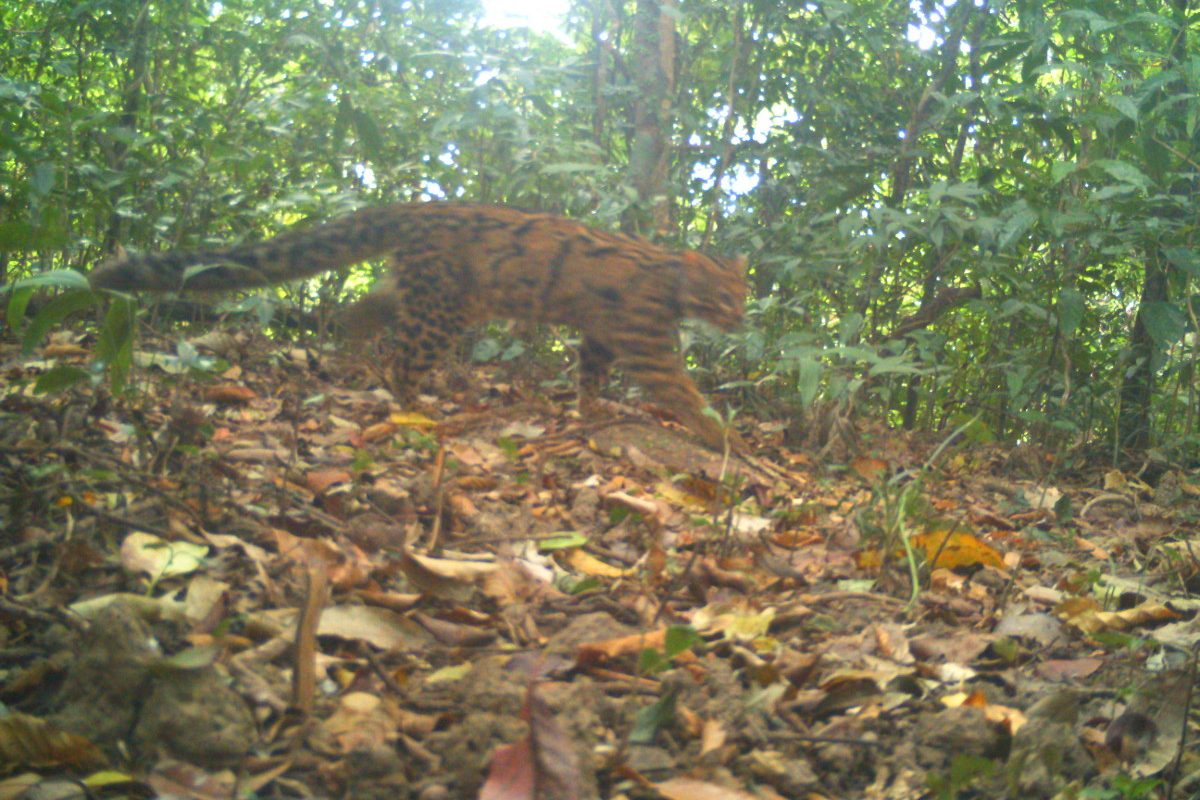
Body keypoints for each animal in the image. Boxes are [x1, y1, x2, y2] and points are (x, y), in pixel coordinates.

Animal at [91, 203, 748, 453]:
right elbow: (685, 393)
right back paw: (418, 409)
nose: (741, 318)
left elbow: (589, 378)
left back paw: (347, 356)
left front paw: (591, 412)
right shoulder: (645, 345)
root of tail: (416, 205)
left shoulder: (603, 337)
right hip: (444, 311)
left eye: (745, 294)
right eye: (725, 296)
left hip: (424, 293)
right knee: (401, 360)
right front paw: (727, 438)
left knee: (360, 312)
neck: (671, 279)